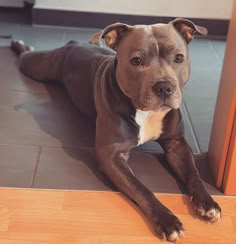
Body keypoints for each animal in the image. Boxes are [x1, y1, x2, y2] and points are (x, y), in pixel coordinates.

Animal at [11, 18, 221, 241]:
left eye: (179, 58)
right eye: (136, 61)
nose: (164, 87)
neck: (145, 112)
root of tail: (75, 43)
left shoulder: (176, 143)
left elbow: (193, 173)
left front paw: (207, 202)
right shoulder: (112, 156)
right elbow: (141, 188)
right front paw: (167, 220)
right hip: (38, 66)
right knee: (26, 56)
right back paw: (18, 44)